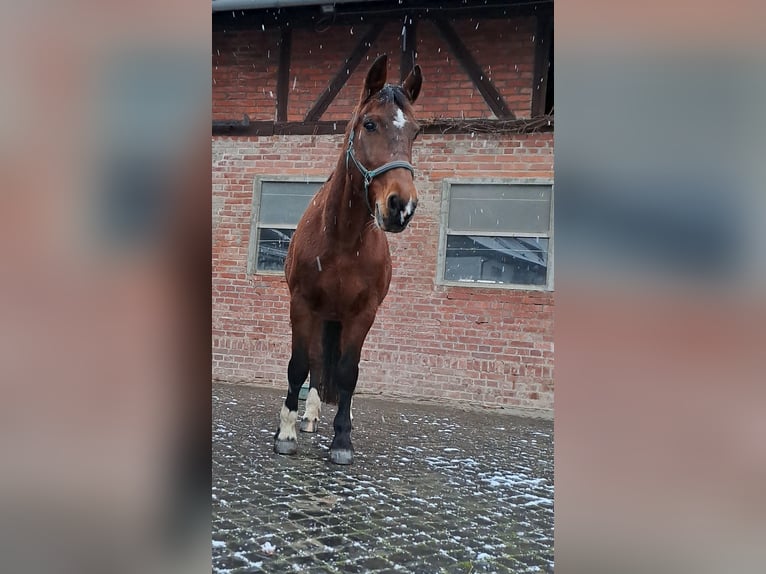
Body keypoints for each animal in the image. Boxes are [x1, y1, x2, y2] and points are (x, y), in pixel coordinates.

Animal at [272, 55, 424, 468]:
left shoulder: (363, 313)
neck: (342, 239)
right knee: (315, 364)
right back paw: (307, 418)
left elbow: (348, 372)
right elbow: (299, 365)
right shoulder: (302, 305)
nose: (401, 206)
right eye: (369, 124)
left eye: (416, 132)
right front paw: (286, 433)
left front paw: (342, 439)